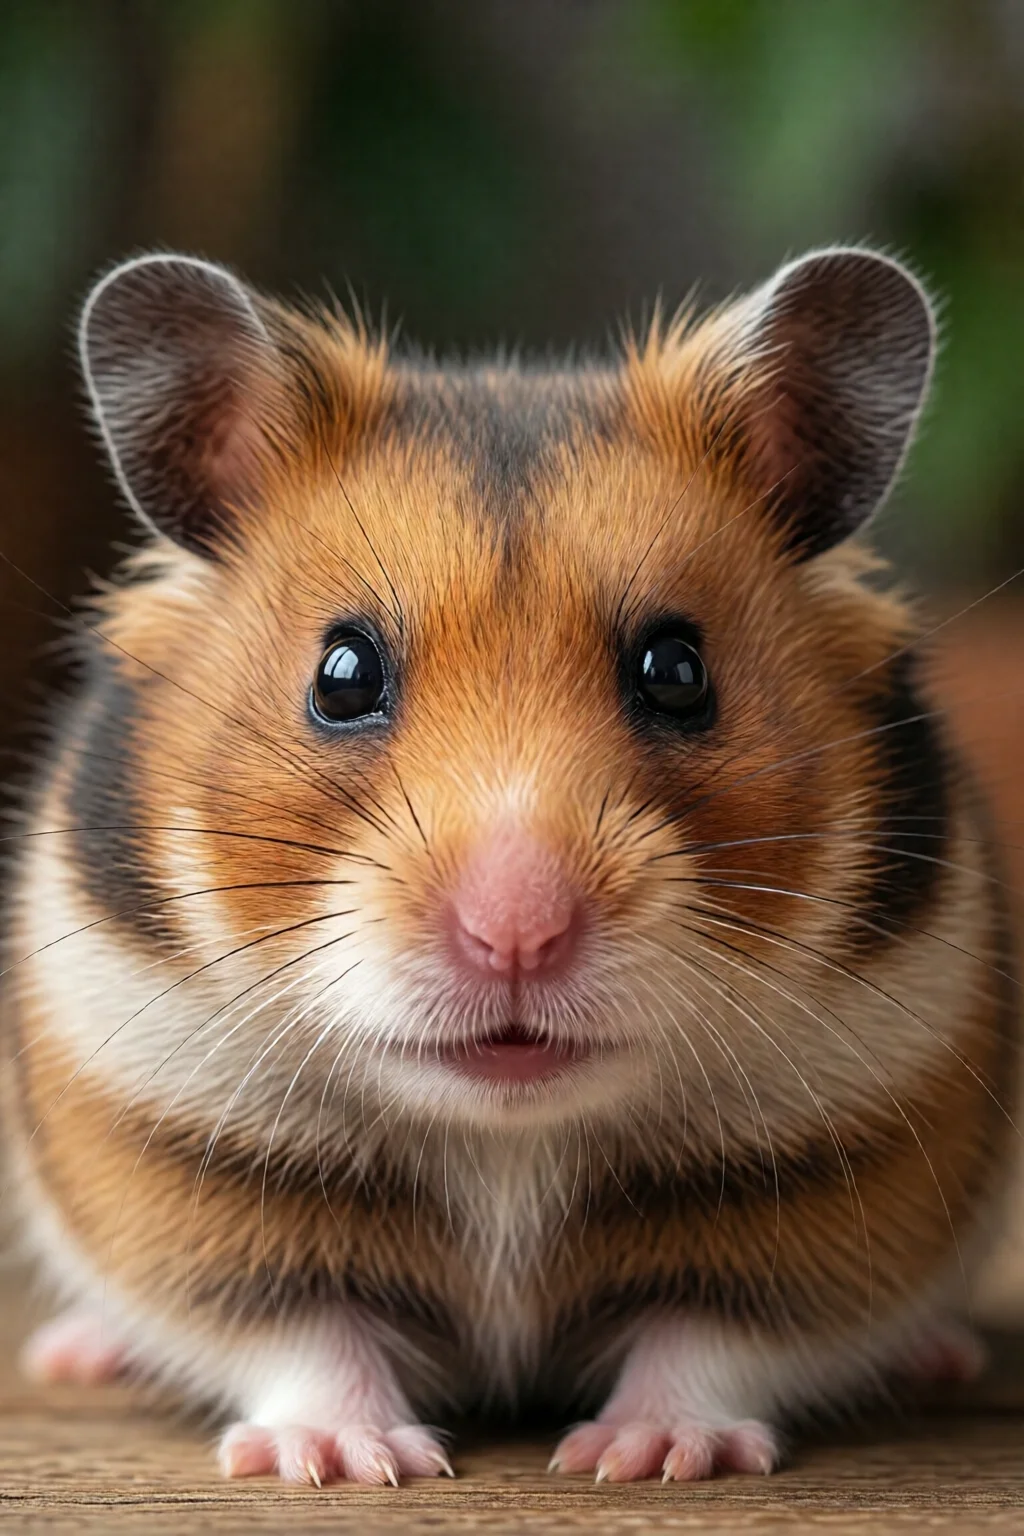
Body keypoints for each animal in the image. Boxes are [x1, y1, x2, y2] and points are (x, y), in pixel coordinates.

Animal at [3, 247, 1017, 1487]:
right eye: (341, 673)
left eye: (677, 670)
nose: (517, 935)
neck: (509, 1141)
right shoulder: (178, 1159)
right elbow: (302, 1329)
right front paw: (344, 1461)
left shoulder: (835, 1184)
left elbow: (708, 1337)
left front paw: (645, 1458)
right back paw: (76, 1353)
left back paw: (939, 1357)